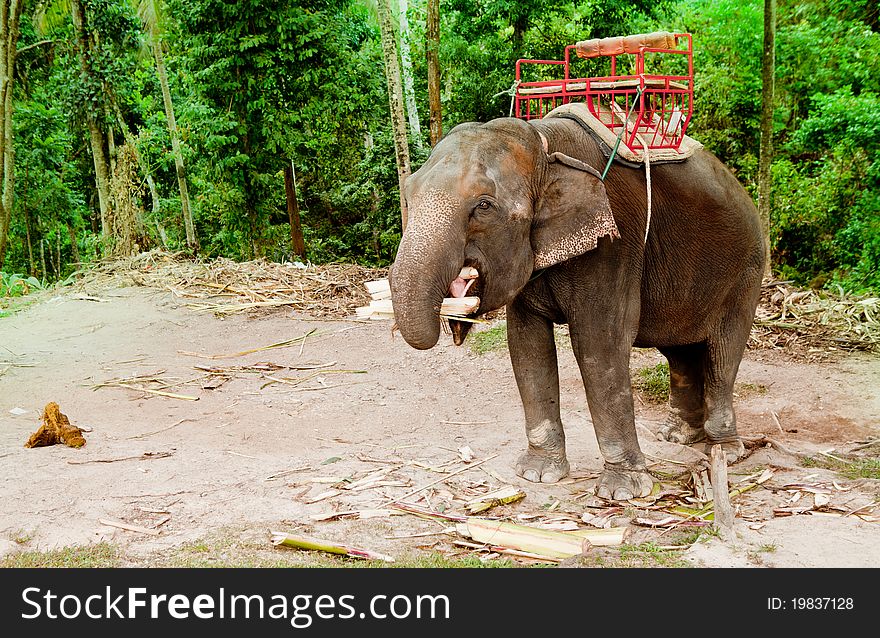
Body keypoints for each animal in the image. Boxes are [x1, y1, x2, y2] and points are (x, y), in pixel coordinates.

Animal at [388, 117, 768, 502]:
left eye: (483, 205)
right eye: (410, 192)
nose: (456, 319)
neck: (543, 142)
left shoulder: (613, 247)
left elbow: (599, 347)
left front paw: (622, 492)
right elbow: (527, 347)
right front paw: (538, 474)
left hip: (746, 274)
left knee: (722, 355)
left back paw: (723, 451)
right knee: (680, 353)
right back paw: (677, 436)